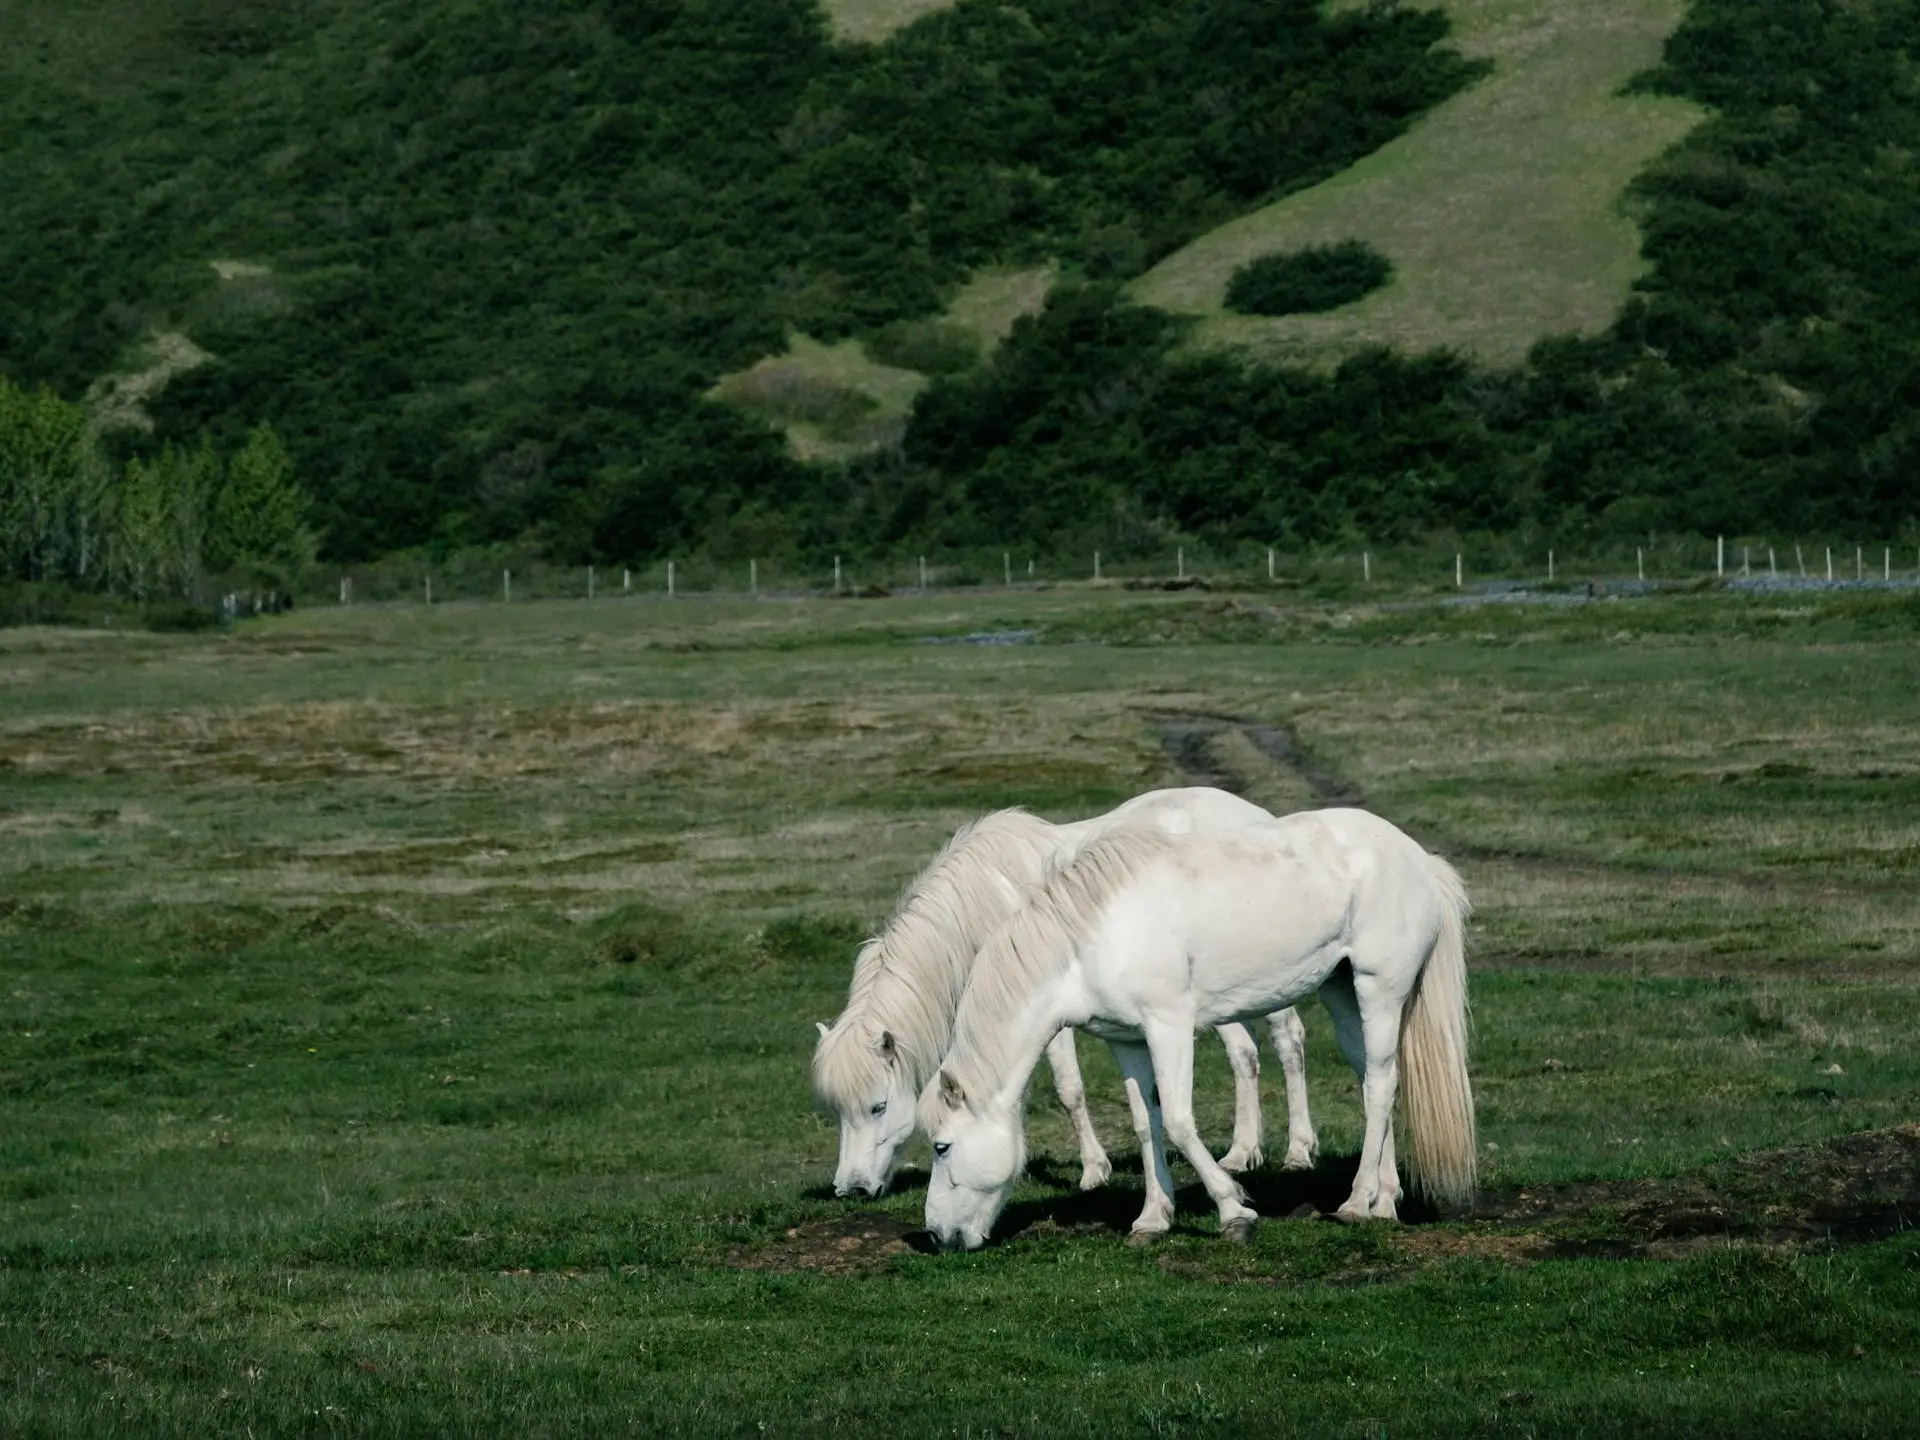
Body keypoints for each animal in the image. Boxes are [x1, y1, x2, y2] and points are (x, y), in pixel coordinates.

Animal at [810, 783, 1320, 1198]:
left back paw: (1298, 1150)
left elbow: (1068, 1088)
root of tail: (1255, 814)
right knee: (1244, 1055)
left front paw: (1094, 1171)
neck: (988, 905)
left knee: (1286, 1042)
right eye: (837, 1111)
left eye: (878, 1106)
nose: (851, 1189)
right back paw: (1242, 1153)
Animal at [921, 814, 1474, 1251]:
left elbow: (1180, 1120)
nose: (936, 1235)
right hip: (1342, 993)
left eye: (941, 1147)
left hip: (1379, 990)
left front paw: (1234, 1212)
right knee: (1376, 1080)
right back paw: (1386, 1199)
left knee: (1379, 1086)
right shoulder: (1127, 1041)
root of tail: (1420, 860)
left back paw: (1358, 1203)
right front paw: (1152, 1218)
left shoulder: (1169, 1026)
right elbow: (1147, 1123)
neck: (1091, 940)